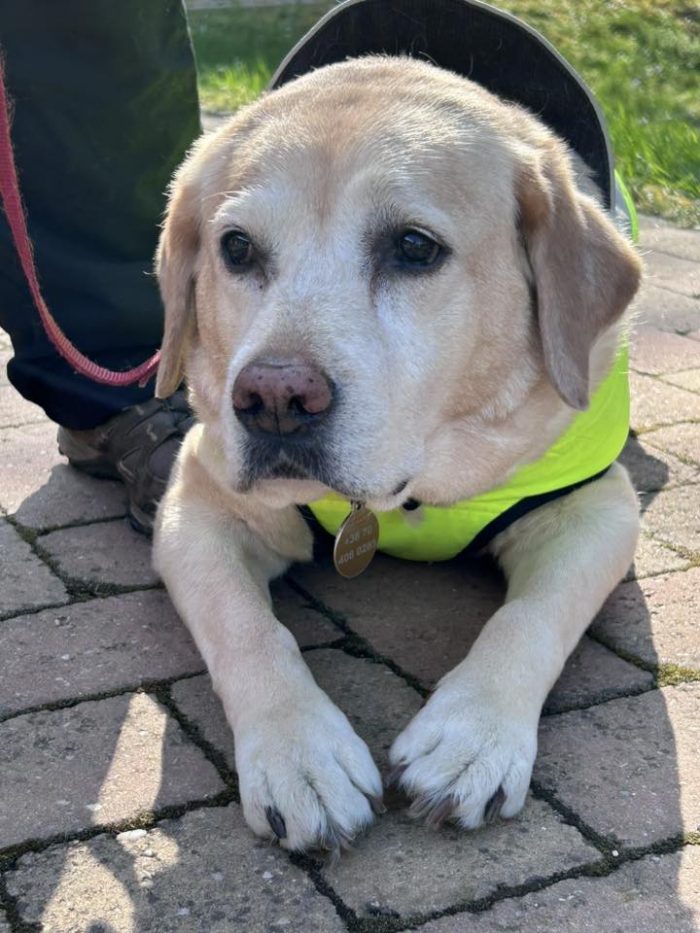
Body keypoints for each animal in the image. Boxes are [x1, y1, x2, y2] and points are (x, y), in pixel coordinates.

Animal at [152, 54, 641, 853]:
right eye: (237, 249)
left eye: (414, 247)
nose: (273, 398)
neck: (410, 495)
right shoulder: (198, 498)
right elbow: (247, 628)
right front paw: (300, 755)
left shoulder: (598, 506)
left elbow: (530, 618)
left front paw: (473, 737)